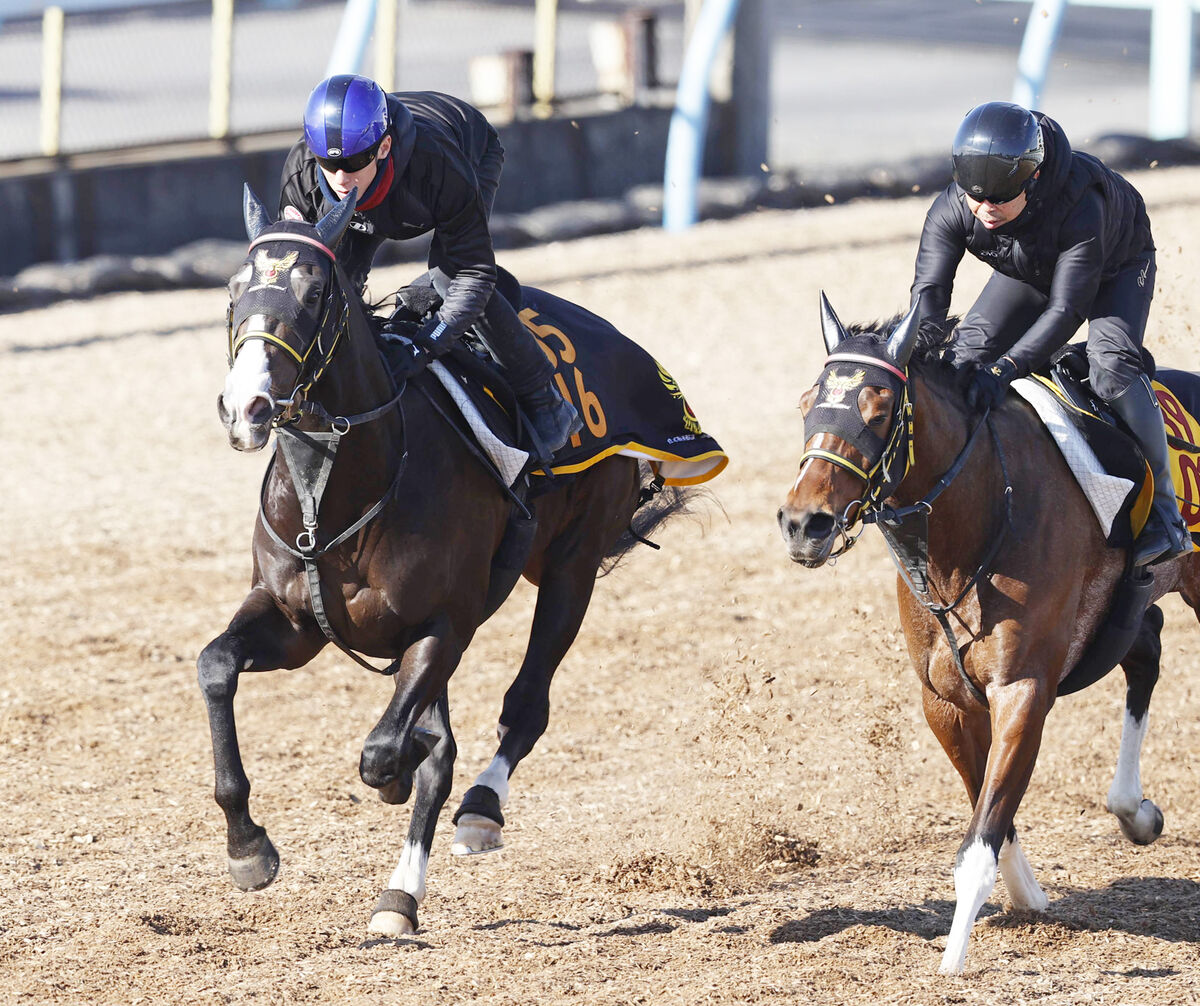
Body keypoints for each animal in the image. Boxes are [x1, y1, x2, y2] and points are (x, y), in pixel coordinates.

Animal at [195, 189, 700, 936]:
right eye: (234, 290)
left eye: (314, 294)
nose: (247, 406)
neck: (340, 491)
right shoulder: (294, 624)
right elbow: (216, 666)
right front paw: (248, 848)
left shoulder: (442, 624)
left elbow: (393, 754)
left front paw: (407, 787)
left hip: (572, 565)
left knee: (524, 706)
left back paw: (467, 823)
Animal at [772, 297, 1195, 974]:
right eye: (808, 401)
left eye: (879, 409)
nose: (802, 522)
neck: (978, 514)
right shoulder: (945, 699)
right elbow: (991, 810)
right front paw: (1030, 897)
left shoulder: (1023, 689)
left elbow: (982, 835)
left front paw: (952, 959)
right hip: (1123, 608)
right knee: (1147, 650)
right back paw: (1134, 811)